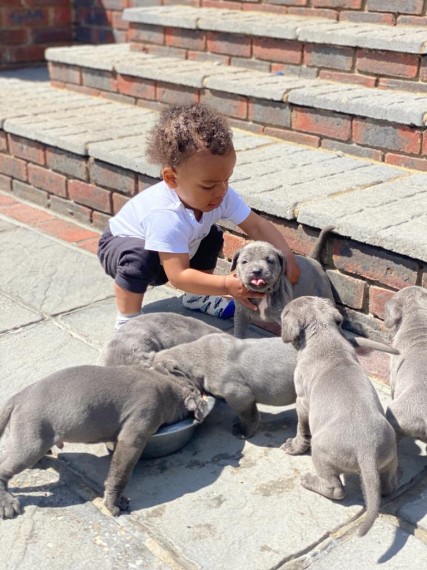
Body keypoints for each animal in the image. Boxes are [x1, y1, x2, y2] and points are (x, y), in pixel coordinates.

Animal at [0, 364, 206, 520]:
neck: (166, 386)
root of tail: (17, 397)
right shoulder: (133, 437)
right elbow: (120, 473)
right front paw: (113, 502)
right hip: (30, 444)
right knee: (4, 469)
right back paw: (7, 503)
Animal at [280, 296, 398, 536]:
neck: (323, 334)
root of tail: (366, 449)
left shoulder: (302, 400)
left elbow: (301, 428)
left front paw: (294, 446)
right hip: (390, 455)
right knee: (389, 484)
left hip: (321, 452)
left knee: (336, 489)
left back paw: (309, 480)